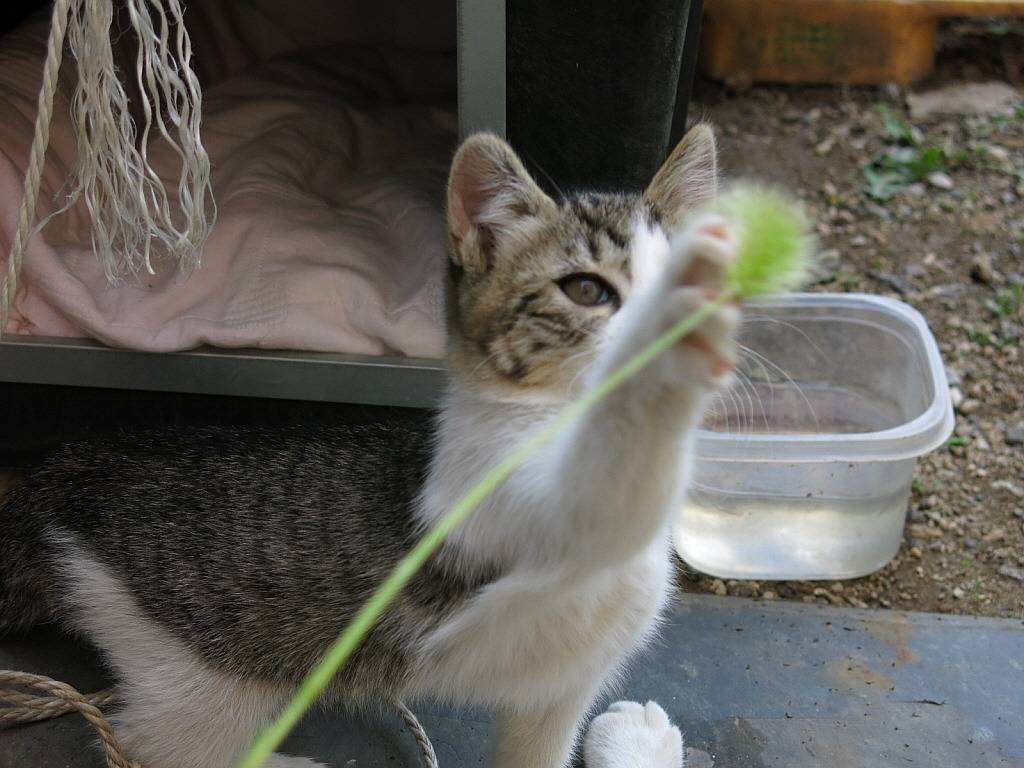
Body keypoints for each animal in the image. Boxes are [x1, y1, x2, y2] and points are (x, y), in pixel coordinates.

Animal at [0, 128, 737, 768]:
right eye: (587, 289)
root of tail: (61, 475)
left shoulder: (560, 686)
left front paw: (636, 744)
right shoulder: (488, 497)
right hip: (192, 667)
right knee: (169, 748)